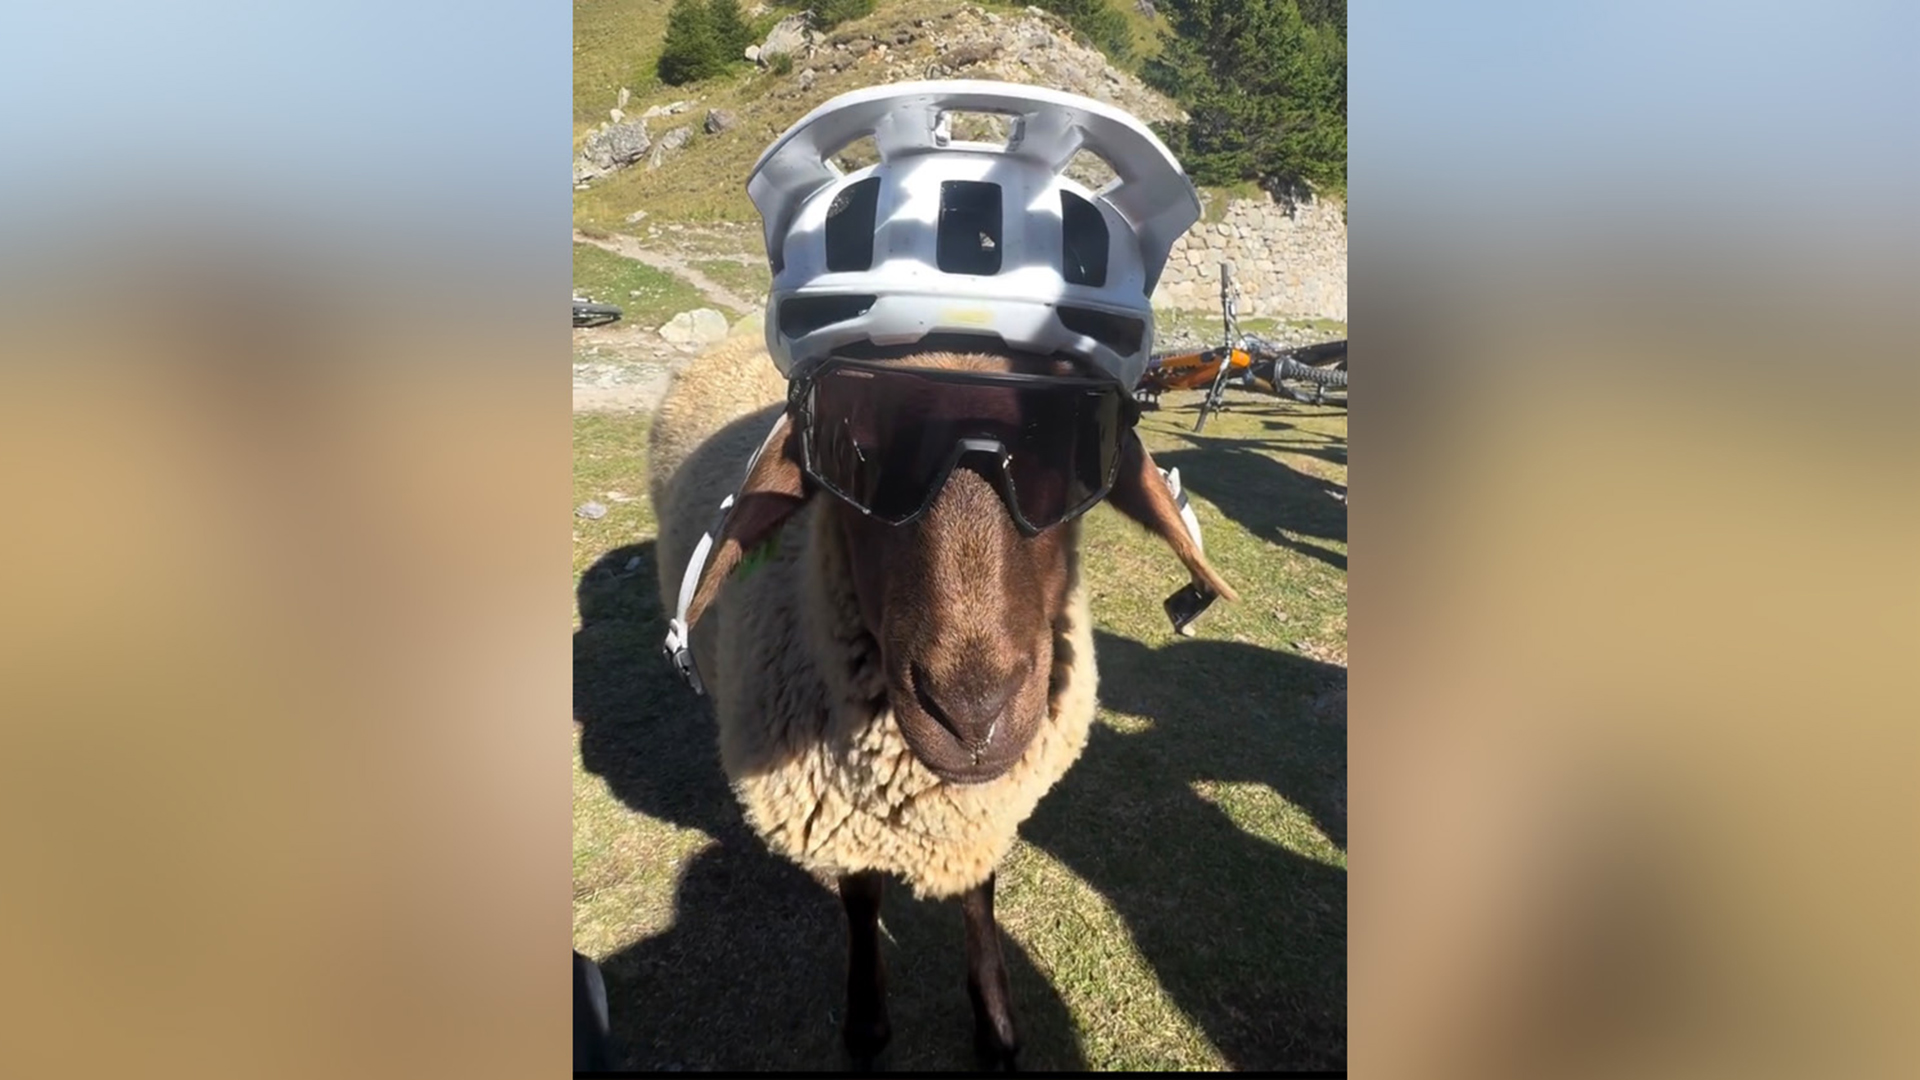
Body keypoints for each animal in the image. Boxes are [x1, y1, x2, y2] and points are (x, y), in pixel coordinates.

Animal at [647, 331, 1235, 1068]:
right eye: (856, 453)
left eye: (1069, 455)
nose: (972, 713)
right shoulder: (848, 810)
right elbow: (862, 899)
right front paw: (867, 1026)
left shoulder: (979, 809)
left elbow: (979, 895)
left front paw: (996, 1027)